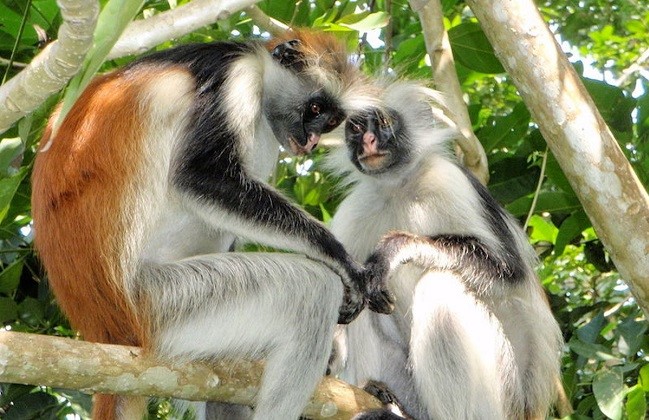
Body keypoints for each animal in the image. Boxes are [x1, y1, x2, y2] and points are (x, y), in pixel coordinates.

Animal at [30, 30, 388, 420]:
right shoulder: (235, 76)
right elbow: (201, 174)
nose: (310, 141)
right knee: (312, 291)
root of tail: (106, 327)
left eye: (328, 122)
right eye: (315, 109)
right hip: (164, 302)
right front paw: (341, 260)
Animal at [330, 83, 560, 420]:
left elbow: (509, 274)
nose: (369, 141)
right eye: (356, 129)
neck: (399, 186)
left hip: (505, 394)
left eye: (384, 123)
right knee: (364, 299)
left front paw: (396, 248)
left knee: (440, 286)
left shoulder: (449, 179)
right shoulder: (355, 209)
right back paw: (385, 398)